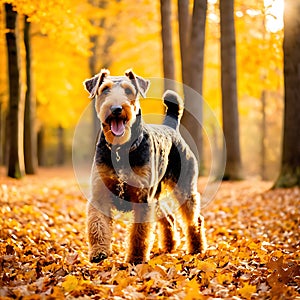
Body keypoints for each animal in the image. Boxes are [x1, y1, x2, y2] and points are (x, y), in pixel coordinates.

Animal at [83, 69, 207, 264]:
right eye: (104, 90)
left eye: (128, 90)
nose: (116, 109)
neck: (120, 149)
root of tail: (171, 126)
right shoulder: (99, 195)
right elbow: (97, 224)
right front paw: (99, 252)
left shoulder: (141, 198)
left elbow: (139, 234)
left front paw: (135, 258)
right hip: (155, 195)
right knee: (169, 218)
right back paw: (170, 246)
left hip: (184, 188)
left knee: (195, 219)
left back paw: (197, 249)